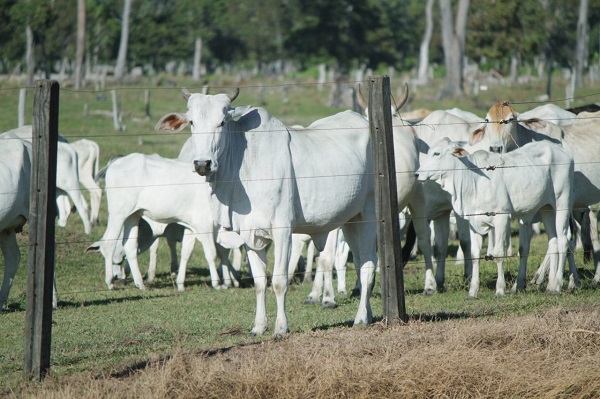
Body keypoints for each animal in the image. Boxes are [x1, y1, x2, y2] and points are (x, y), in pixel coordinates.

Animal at [91, 155, 244, 292]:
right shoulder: (204, 225)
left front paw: (180, 284)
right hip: (118, 213)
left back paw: (140, 284)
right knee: (108, 243)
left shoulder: (191, 226)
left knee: (130, 246)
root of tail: (115, 163)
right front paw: (217, 283)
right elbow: (212, 253)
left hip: (132, 215)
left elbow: (187, 252)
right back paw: (110, 282)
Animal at [157, 88, 378, 338]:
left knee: (368, 265)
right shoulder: (250, 234)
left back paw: (361, 318)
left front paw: (281, 328)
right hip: (351, 219)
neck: (243, 167)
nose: (203, 163)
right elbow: (260, 282)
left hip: (369, 212)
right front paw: (258, 326)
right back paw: (368, 313)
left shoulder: (283, 231)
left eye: (222, 122)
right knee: (361, 262)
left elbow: (279, 281)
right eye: (192, 122)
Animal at [418, 138, 576, 296]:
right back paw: (550, 285)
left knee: (564, 240)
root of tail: (560, 149)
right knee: (553, 241)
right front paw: (473, 291)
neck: (473, 181)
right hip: (547, 209)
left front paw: (500, 289)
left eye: (437, 153)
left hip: (562, 204)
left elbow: (499, 254)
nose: (417, 174)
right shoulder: (473, 223)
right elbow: (475, 255)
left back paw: (558, 285)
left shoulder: (502, 218)